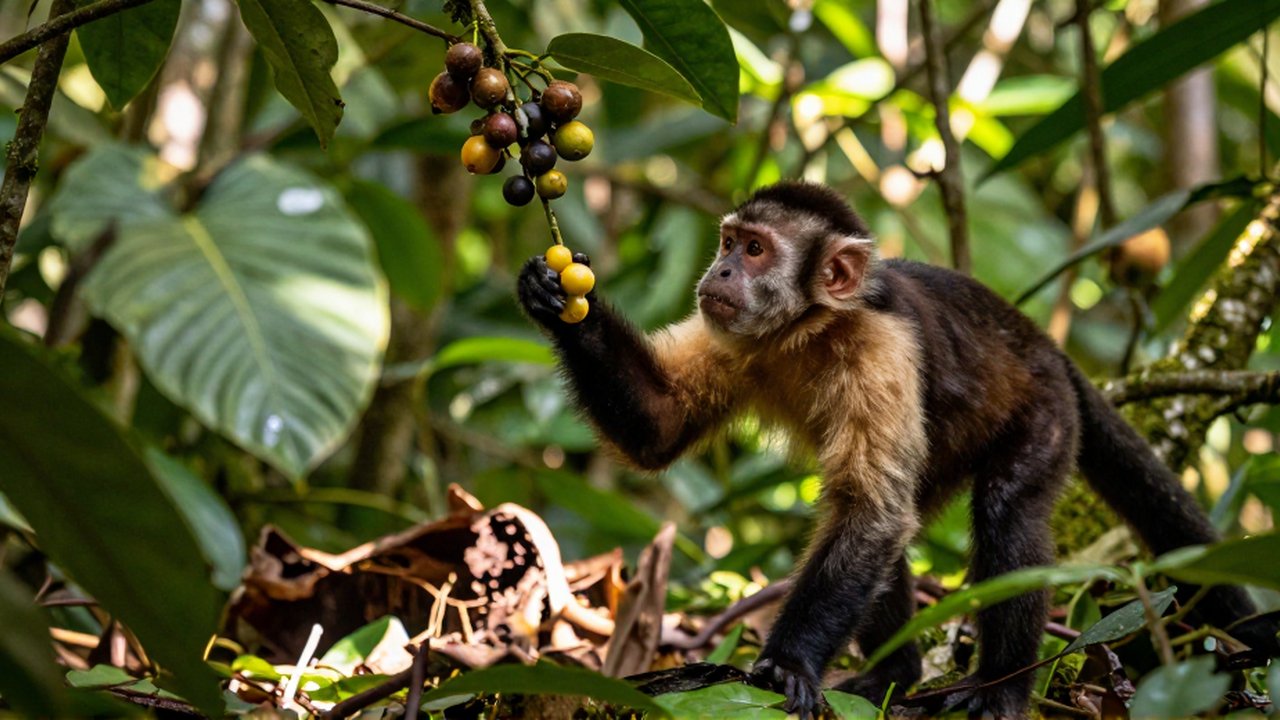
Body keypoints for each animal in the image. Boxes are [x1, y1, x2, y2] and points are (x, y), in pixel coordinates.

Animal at [516, 181, 1274, 717]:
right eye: (728, 243)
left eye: (755, 250)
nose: (720, 273)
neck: (808, 329)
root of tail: (1044, 343)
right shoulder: (732, 333)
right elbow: (660, 428)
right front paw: (555, 299)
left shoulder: (880, 345)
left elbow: (873, 512)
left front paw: (788, 665)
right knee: (893, 524)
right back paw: (896, 673)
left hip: (1046, 411)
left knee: (1002, 510)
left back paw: (1001, 689)